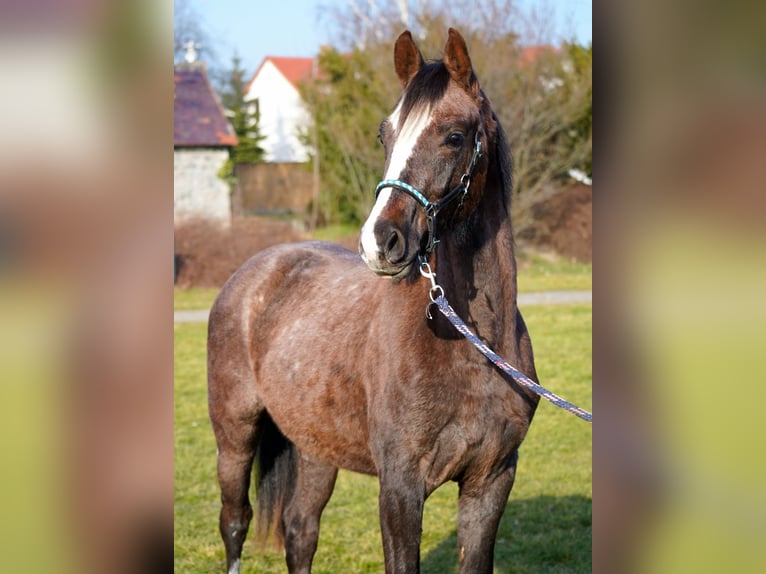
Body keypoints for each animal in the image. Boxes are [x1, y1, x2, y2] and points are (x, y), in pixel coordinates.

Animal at [204, 28, 540, 574]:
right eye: (386, 134)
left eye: (454, 136)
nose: (379, 241)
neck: (472, 346)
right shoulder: (400, 488)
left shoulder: (490, 481)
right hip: (234, 436)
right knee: (235, 524)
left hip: (315, 446)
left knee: (301, 530)